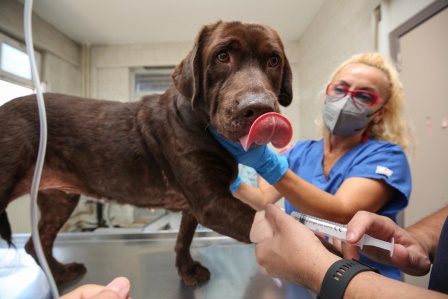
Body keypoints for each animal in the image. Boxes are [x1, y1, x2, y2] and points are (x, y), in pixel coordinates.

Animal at [0, 19, 292, 288]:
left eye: (273, 60)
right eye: (222, 56)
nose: (259, 109)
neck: (201, 124)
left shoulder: (194, 205)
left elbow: (183, 238)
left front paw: (186, 269)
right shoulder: (211, 202)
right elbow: (268, 224)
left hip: (59, 200)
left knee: (38, 241)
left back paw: (60, 273)